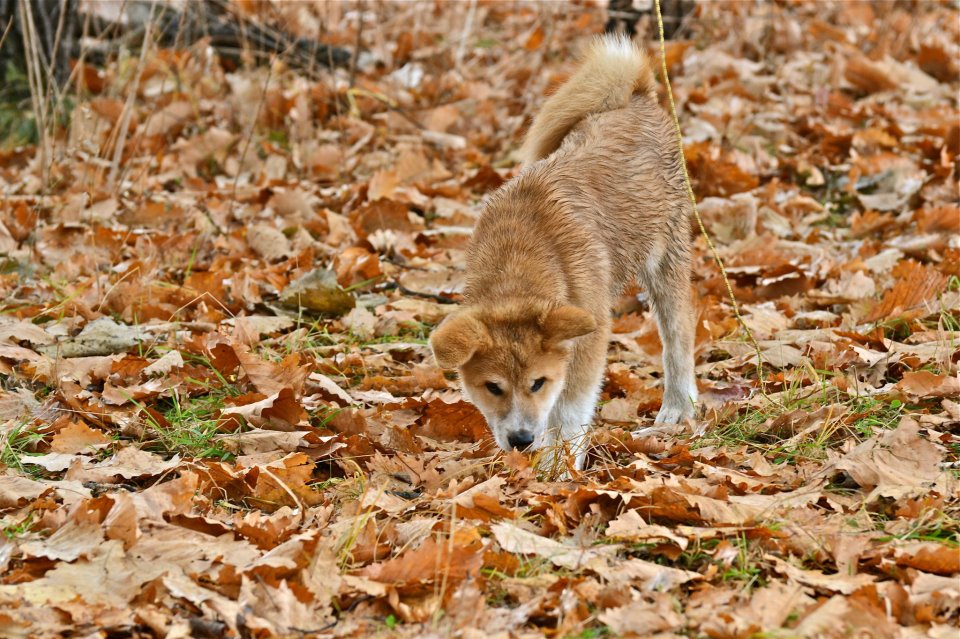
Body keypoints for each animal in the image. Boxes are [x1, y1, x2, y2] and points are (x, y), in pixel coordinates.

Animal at [432, 32, 692, 470]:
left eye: (538, 382)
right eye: (493, 387)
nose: (520, 439)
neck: (519, 258)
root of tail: (636, 95)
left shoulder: (590, 339)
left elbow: (568, 413)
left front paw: (559, 470)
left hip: (666, 260)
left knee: (679, 338)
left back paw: (679, 407)